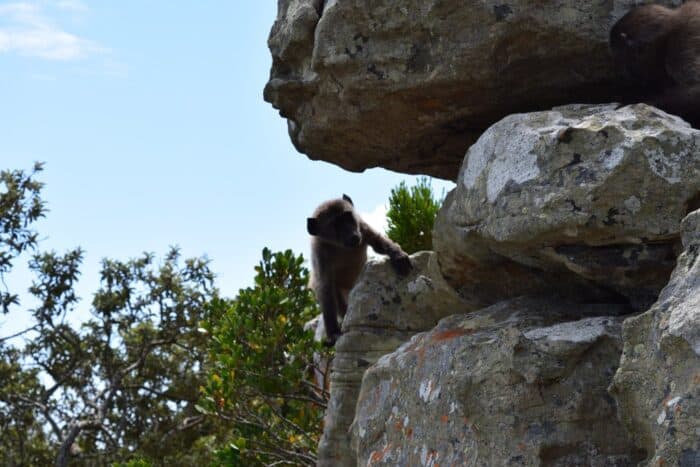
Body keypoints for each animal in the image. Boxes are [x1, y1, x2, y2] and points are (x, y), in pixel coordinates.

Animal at [307, 194, 412, 345]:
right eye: (336, 225)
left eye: (347, 217)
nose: (353, 236)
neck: (339, 247)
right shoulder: (320, 254)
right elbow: (325, 288)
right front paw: (333, 333)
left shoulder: (362, 227)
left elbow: (378, 241)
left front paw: (398, 255)